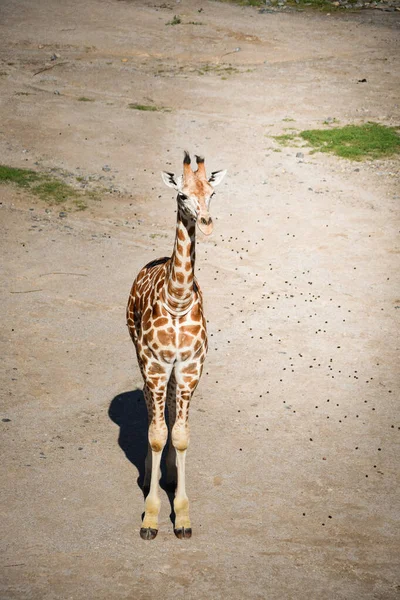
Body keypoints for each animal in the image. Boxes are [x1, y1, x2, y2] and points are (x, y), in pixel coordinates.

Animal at [126, 150, 227, 540]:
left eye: (212, 193)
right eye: (182, 195)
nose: (208, 222)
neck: (177, 299)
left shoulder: (189, 366)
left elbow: (180, 434)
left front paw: (182, 517)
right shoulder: (155, 364)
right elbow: (157, 434)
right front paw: (151, 518)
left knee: (167, 408)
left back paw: (166, 474)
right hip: (141, 357)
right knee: (147, 403)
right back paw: (148, 475)